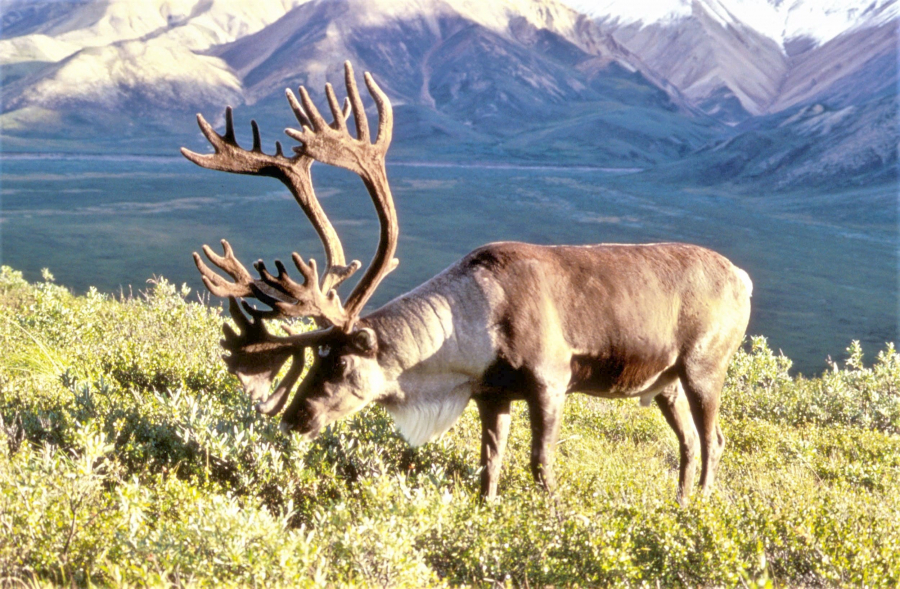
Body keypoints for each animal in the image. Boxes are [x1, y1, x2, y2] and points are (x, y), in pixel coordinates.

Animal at [182, 62, 752, 504]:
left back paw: (701, 508)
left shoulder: (551, 379)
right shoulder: (491, 395)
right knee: (689, 442)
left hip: (704, 367)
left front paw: (554, 520)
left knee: (714, 440)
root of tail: (743, 278)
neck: (469, 331)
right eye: (316, 360)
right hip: (665, 381)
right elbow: (489, 466)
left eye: (341, 364)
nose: (295, 419)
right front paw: (487, 512)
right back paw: (679, 505)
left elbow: (541, 465)